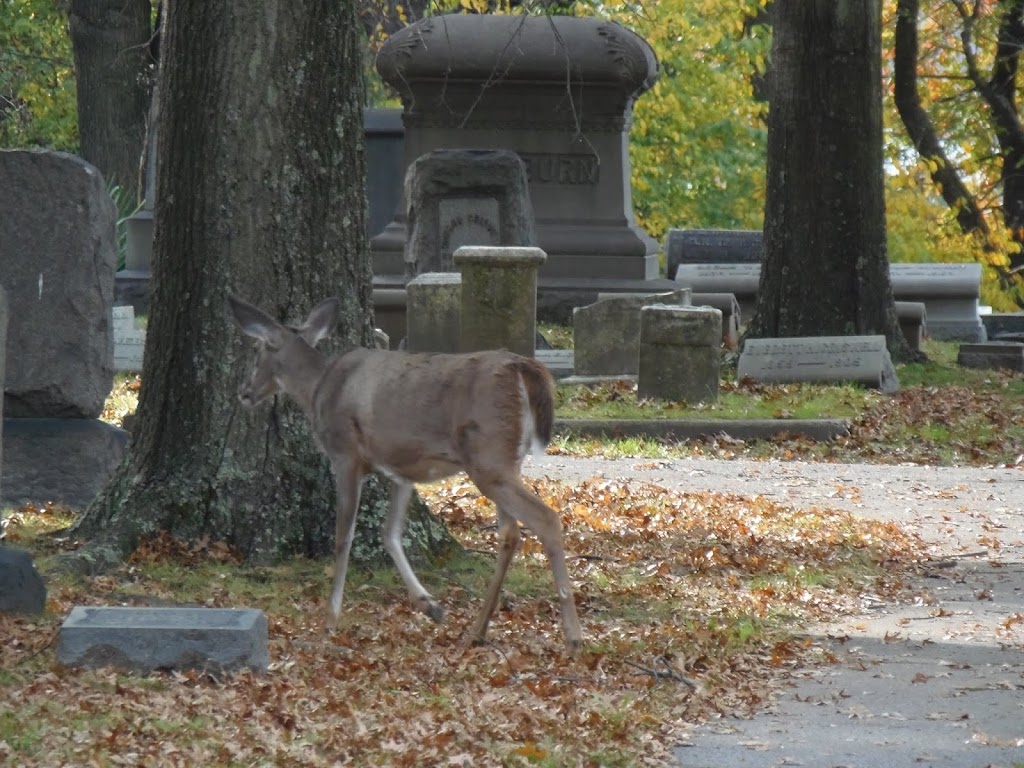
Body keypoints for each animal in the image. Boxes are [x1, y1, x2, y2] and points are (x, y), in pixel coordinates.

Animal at [230, 294, 585, 655]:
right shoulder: (401, 469)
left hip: (489, 456)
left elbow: (344, 537)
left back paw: (573, 637)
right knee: (510, 533)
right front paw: (430, 605)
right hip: (503, 460)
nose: (243, 391)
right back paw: (478, 630)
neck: (317, 390)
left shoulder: (346, 455)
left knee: (546, 518)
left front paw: (329, 622)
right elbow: (390, 534)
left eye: (256, 349)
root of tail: (523, 368)